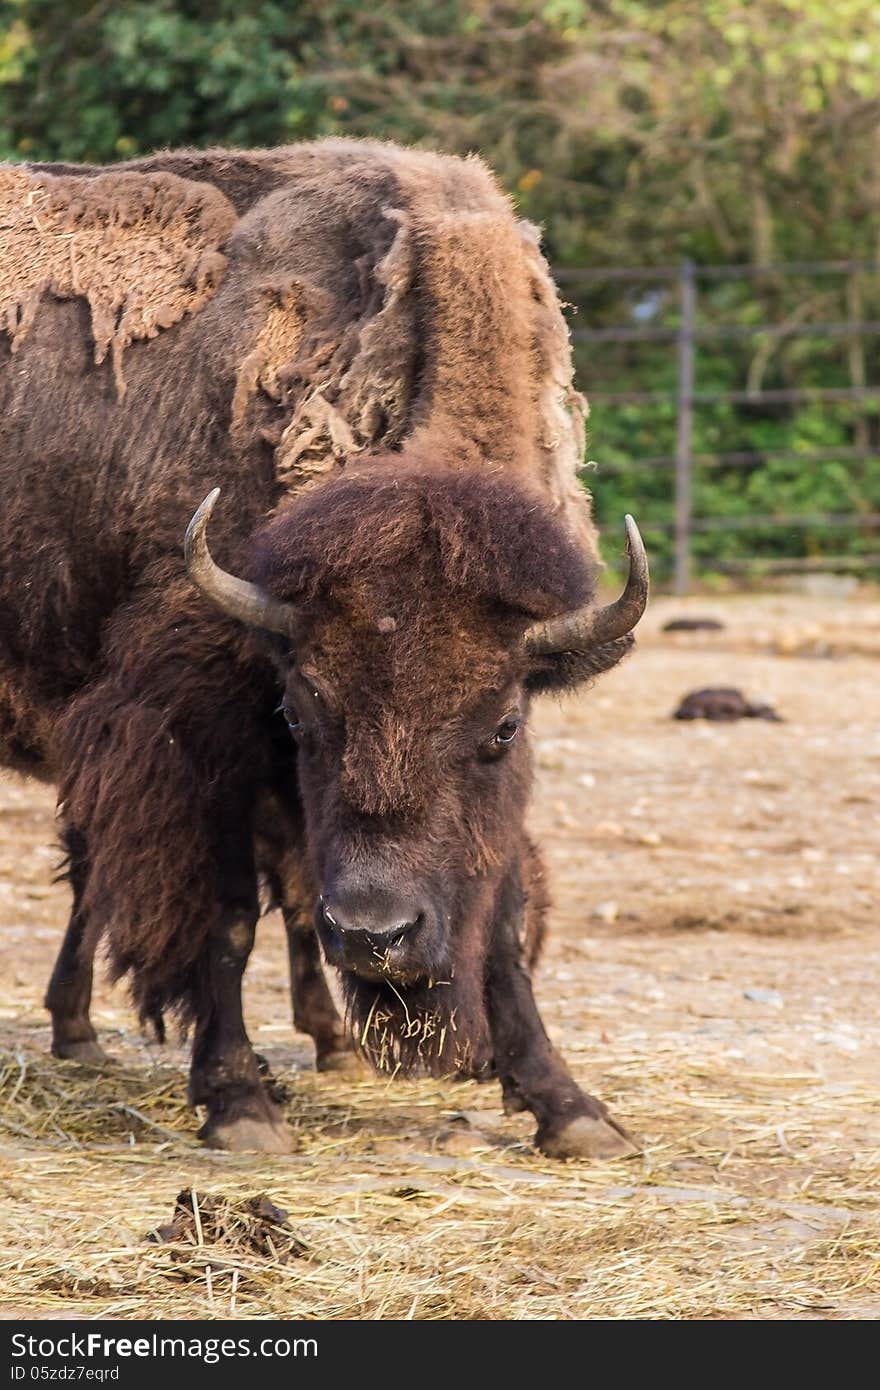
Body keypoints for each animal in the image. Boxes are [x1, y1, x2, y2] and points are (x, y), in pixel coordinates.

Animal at [0, 141, 645, 1162]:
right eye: (300, 713)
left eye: (502, 727)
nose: (377, 934)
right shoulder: (198, 728)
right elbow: (226, 916)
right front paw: (240, 1105)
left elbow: (498, 914)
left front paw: (572, 1110)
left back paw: (80, 1031)